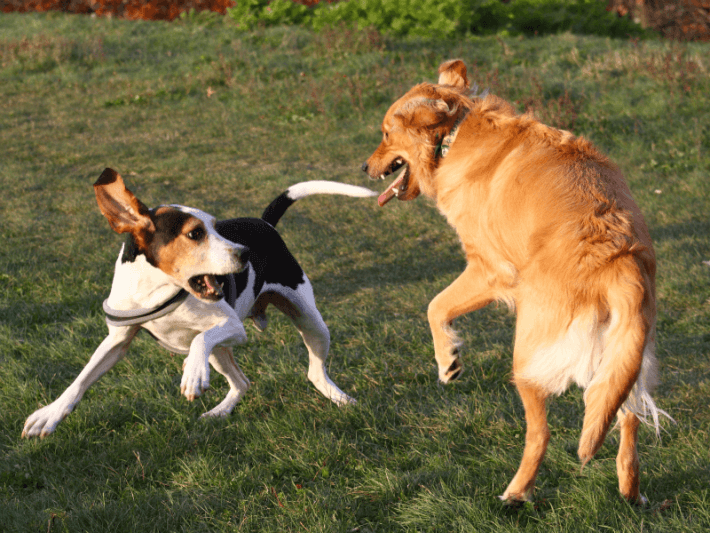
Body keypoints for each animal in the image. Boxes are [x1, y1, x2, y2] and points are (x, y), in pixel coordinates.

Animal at [22, 167, 378, 436]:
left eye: (216, 227)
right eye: (195, 234)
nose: (246, 254)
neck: (158, 289)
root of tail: (264, 222)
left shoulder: (232, 326)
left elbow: (198, 342)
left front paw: (192, 373)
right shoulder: (117, 340)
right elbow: (81, 379)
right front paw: (50, 415)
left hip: (310, 321)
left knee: (314, 373)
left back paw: (343, 401)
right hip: (223, 354)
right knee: (242, 382)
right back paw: (220, 412)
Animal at [364, 59, 672, 502]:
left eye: (386, 133)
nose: (364, 167)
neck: (455, 133)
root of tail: (617, 263)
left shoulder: (488, 269)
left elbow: (435, 306)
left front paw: (448, 361)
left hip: (527, 354)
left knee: (540, 433)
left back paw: (516, 492)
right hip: (625, 356)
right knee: (626, 416)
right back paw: (630, 490)